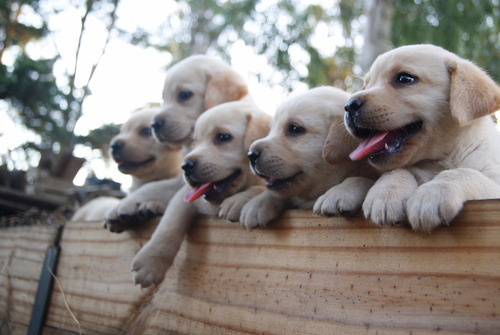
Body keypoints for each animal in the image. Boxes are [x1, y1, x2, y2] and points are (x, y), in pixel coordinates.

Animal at [106, 55, 254, 234]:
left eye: (184, 95)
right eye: (164, 98)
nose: (154, 124)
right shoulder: (180, 182)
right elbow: (152, 187)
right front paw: (121, 205)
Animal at [129, 101, 270, 288]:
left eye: (223, 137)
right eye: (194, 141)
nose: (185, 166)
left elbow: (262, 189)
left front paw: (239, 200)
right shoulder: (184, 197)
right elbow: (169, 227)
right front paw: (150, 262)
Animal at [243, 85, 378, 230]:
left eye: (295, 128)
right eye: (271, 130)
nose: (251, 155)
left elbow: (363, 179)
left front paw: (340, 191)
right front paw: (257, 203)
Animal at [328, 44, 500, 234]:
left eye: (404, 78)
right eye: (366, 85)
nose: (349, 106)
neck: (440, 159)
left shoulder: (494, 182)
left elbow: (464, 172)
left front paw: (432, 193)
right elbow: (397, 171)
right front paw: (386, 193)